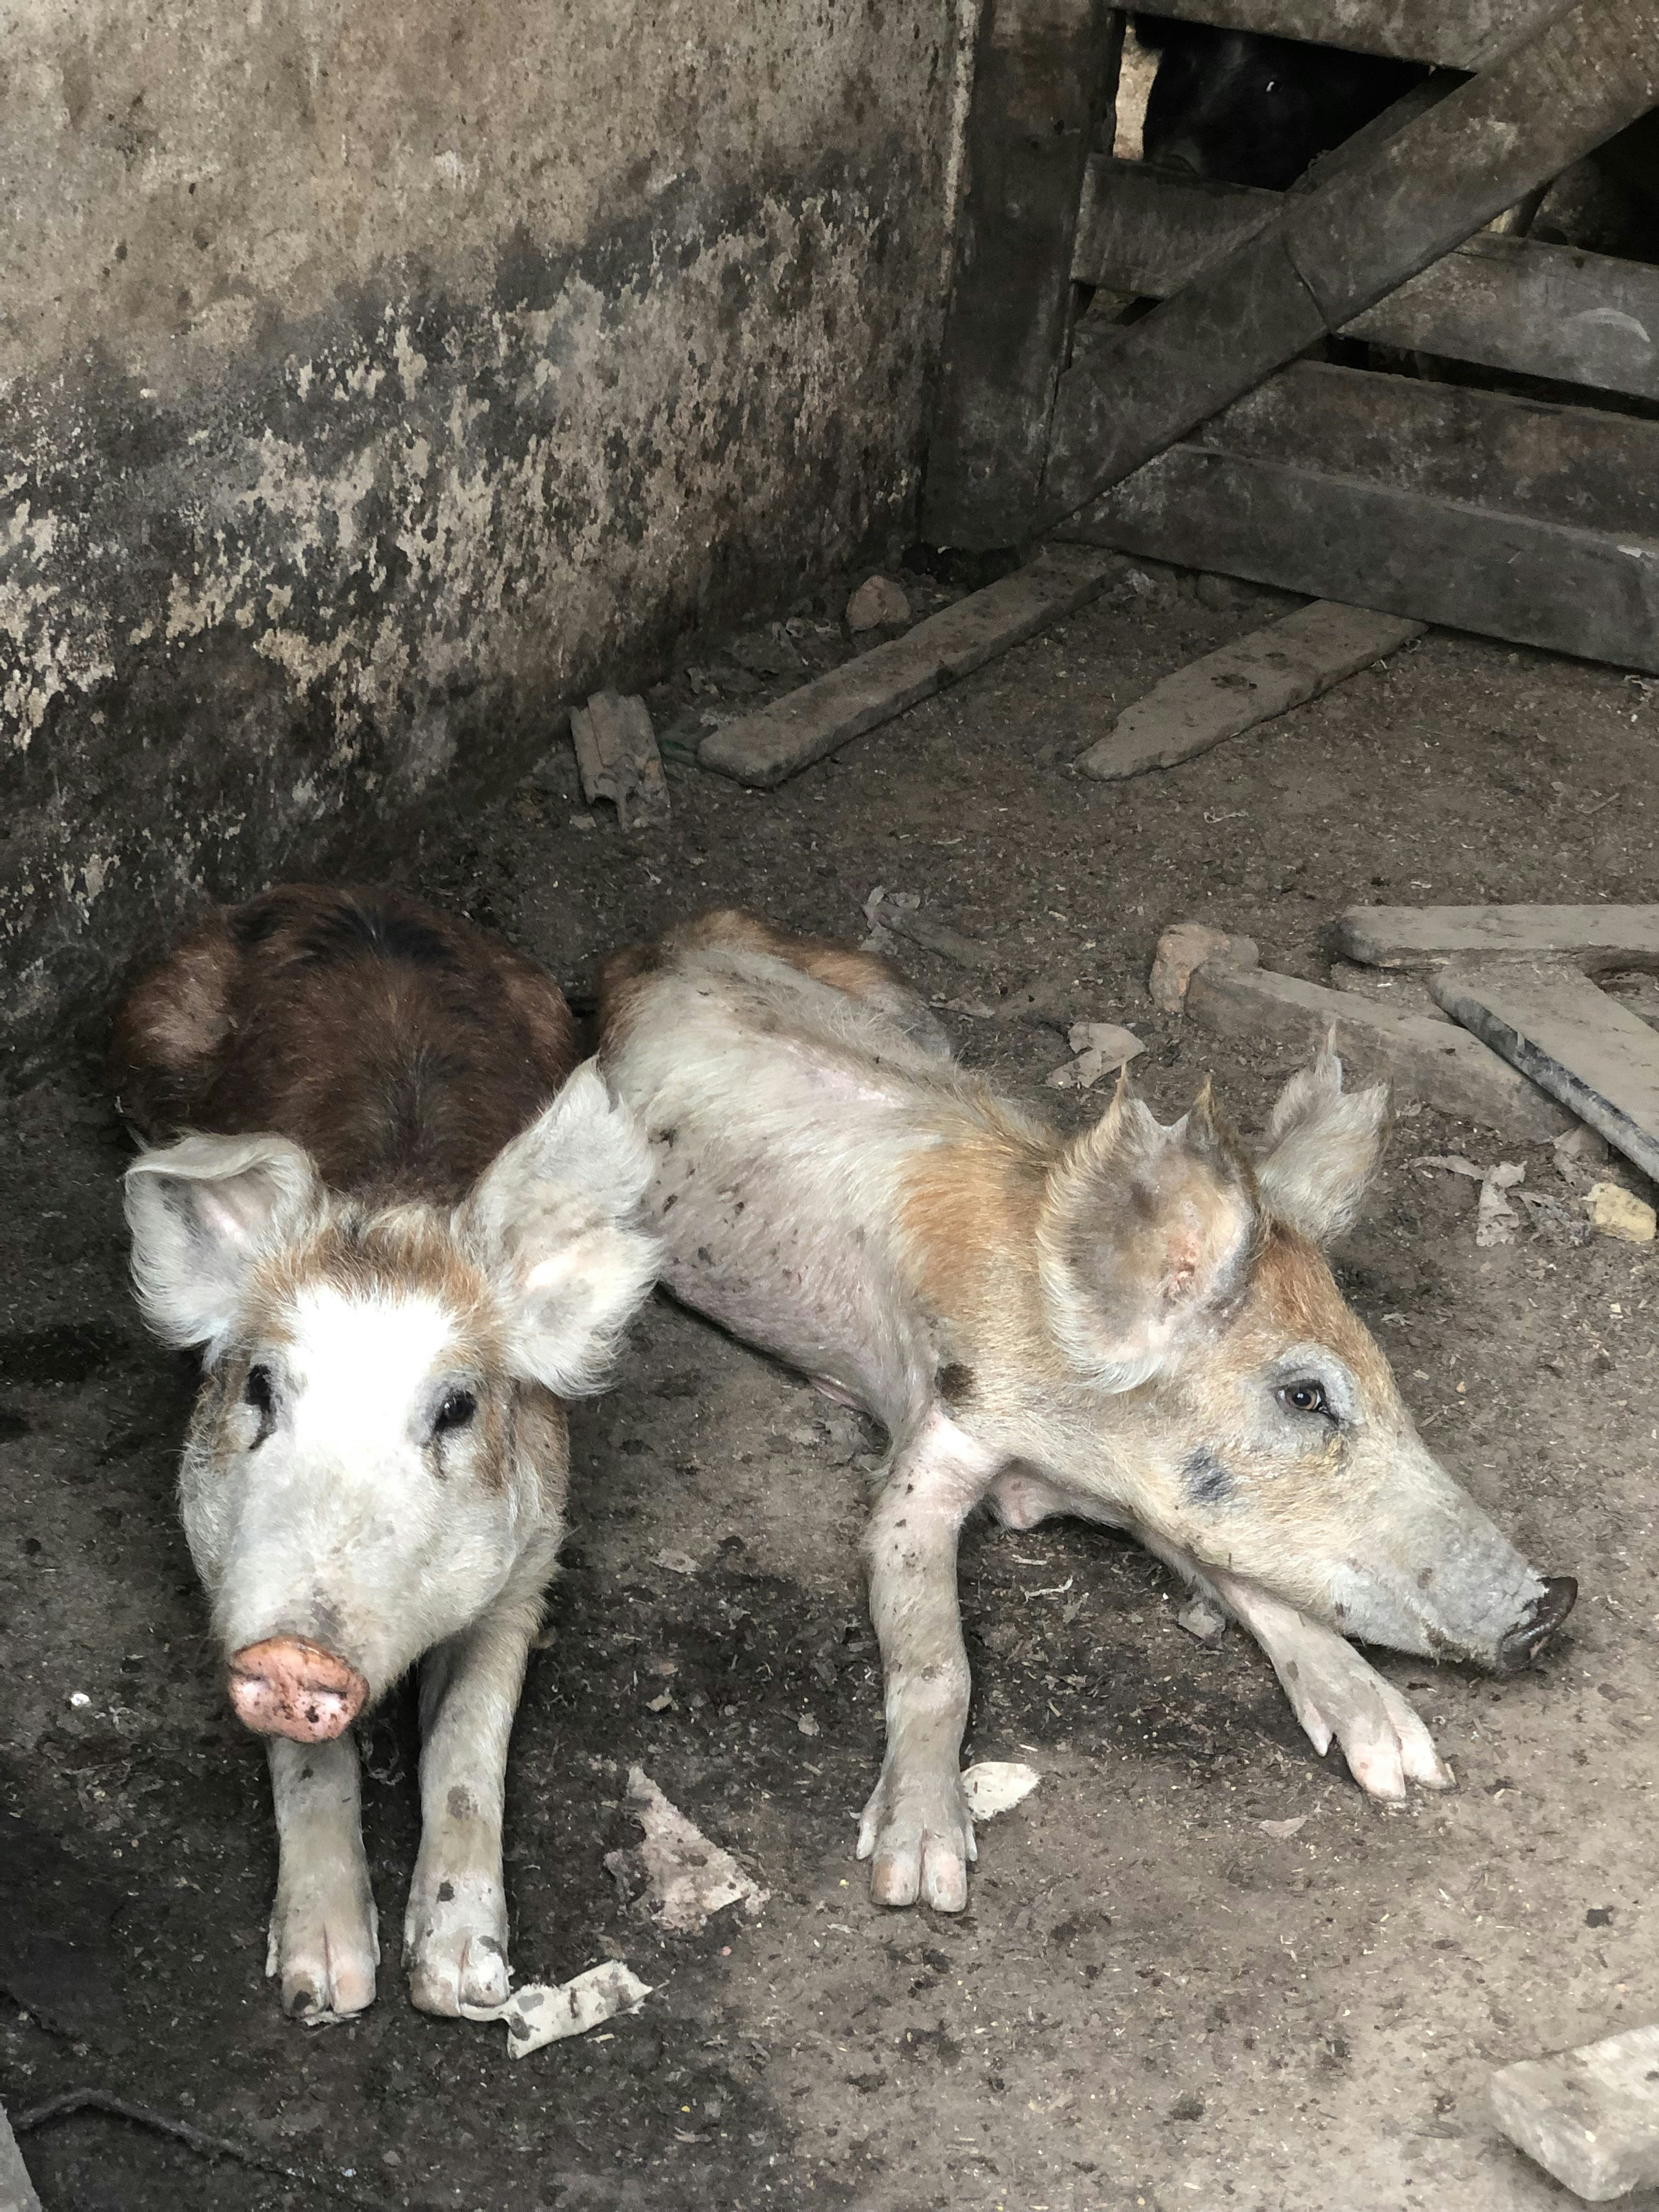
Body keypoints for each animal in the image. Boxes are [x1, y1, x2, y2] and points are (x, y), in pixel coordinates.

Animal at [110, 885, 658, 2016]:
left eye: (454, 1408)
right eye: (258, 1386)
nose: (297, 1653)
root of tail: (351, 895)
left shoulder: (533, 1552)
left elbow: (469, 1736)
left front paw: (462, 1985)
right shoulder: (223, 1563)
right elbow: (306, 1764)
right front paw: (327, 1988)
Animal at [598, 910, 1576, 1913]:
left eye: (1383, 1374)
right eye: (1304, 1395)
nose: (1556, 1603)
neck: (1069, 1452)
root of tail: (665, 941)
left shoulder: (1159, 1494)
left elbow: (1256, 1583)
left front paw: (1406, 1763)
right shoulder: (942, 1434)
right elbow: (932, 1652)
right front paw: (920, 1876)